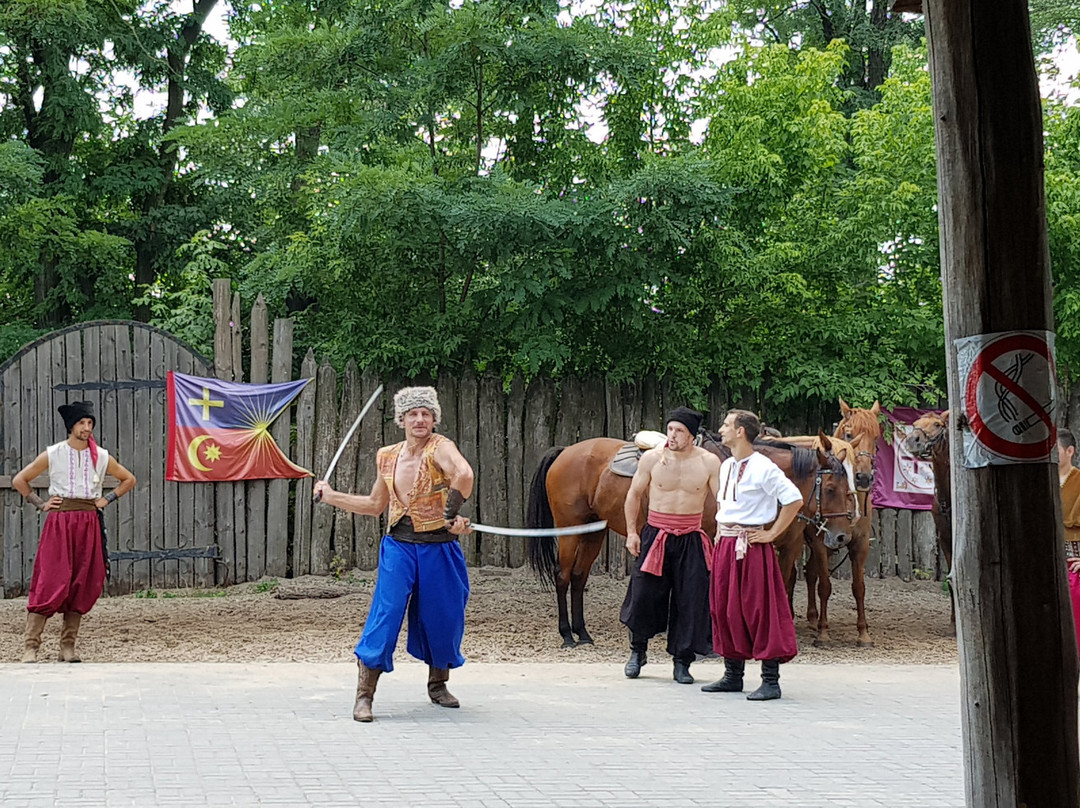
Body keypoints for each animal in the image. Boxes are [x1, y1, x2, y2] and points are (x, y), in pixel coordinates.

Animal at [527, 432, 855, 648]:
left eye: (847, 486)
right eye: (830, 488)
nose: (842, 535)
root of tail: (566, 451)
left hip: (592, 532)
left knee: (579, 577)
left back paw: (582, 633)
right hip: (570, 529)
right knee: (563, 576)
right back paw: (567, 635)